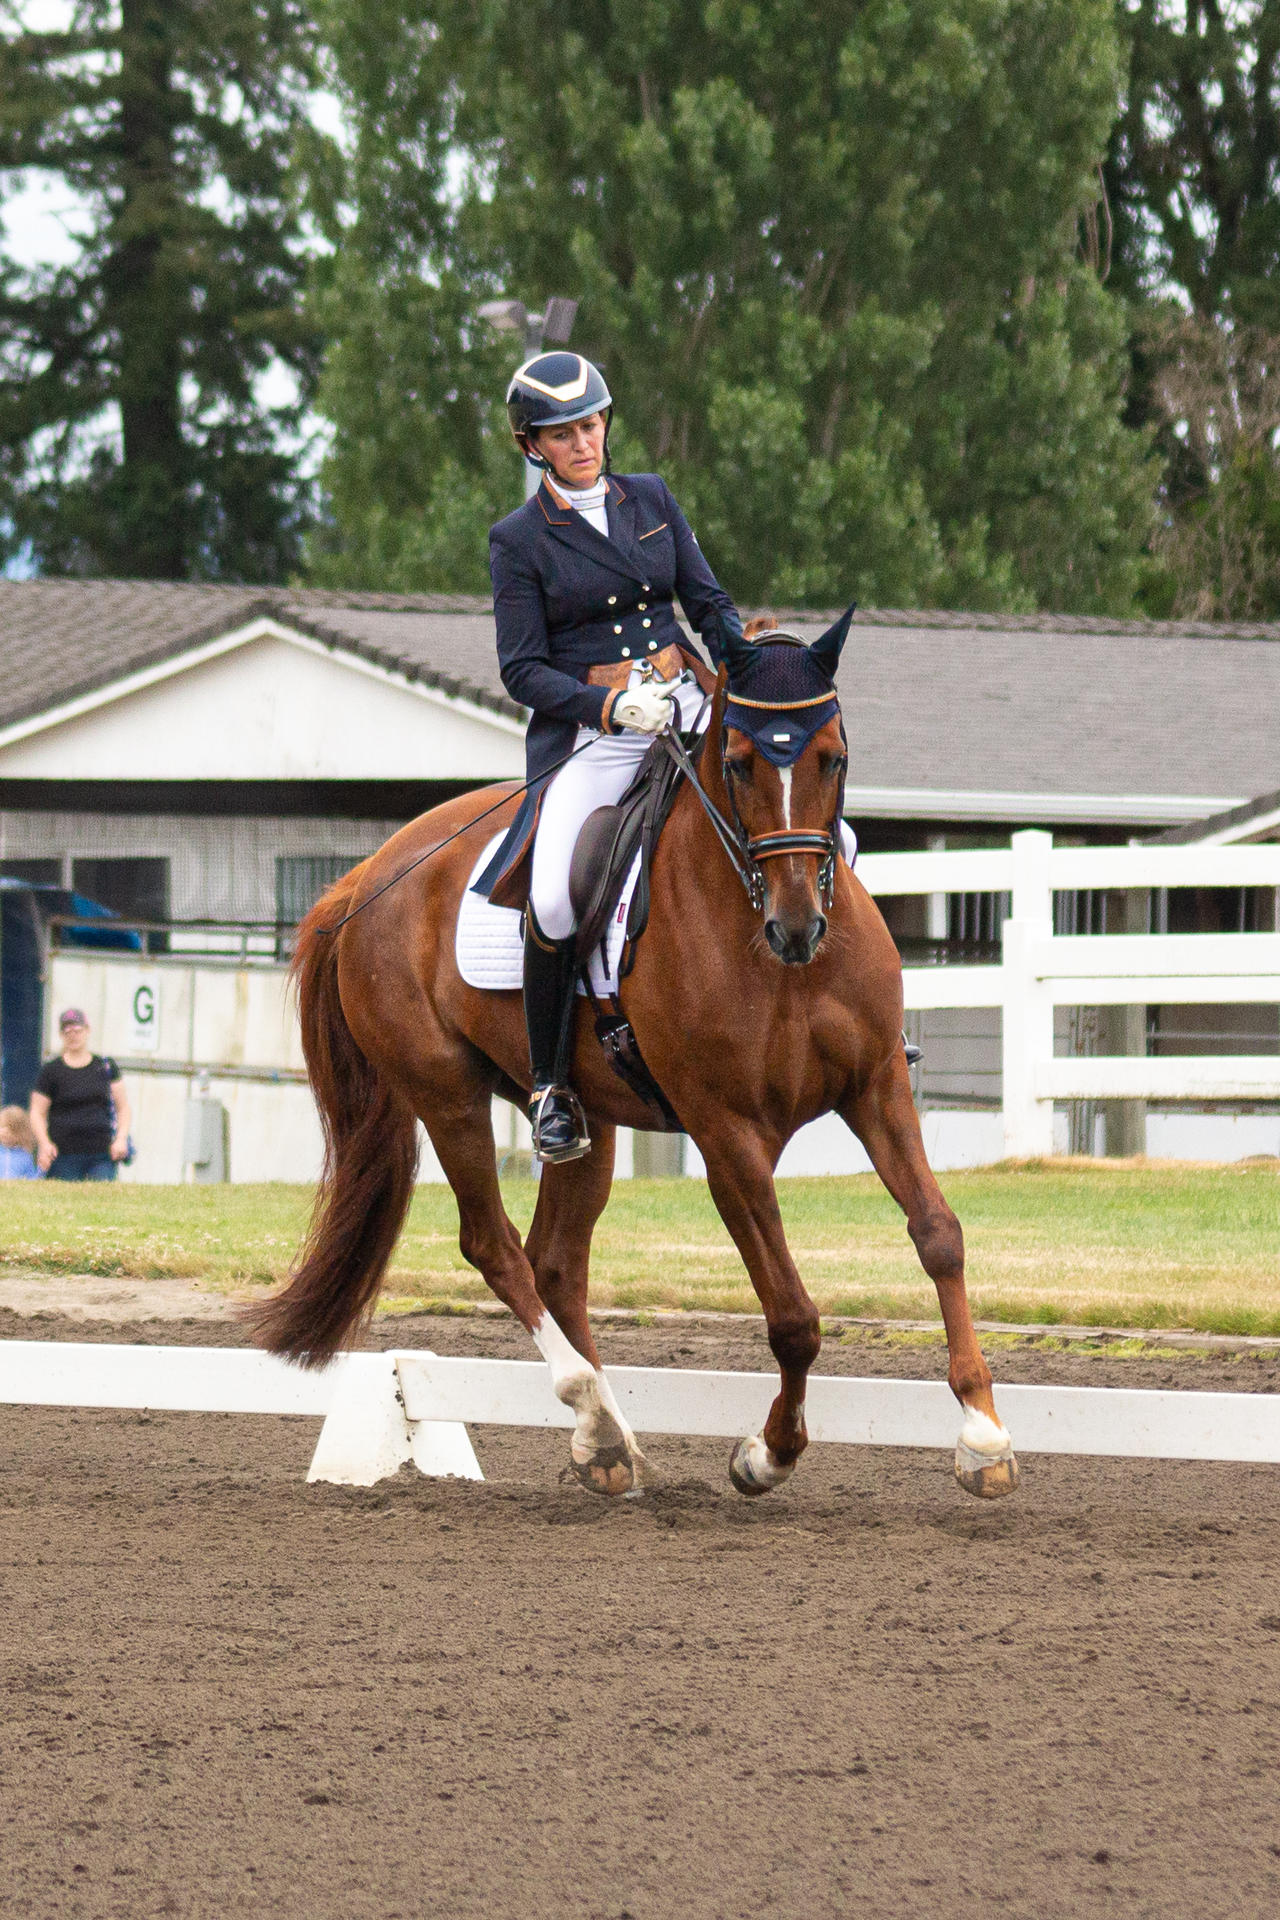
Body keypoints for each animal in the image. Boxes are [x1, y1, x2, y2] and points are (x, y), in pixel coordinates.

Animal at [249, 615, 1019, 1503]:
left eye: (834, 756)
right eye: (739, 762)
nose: (798, 928)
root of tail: (366, 878)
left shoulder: (877, 1087)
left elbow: (938, 1233)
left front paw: (984, 1437)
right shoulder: (727, 1134)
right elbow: (793, 1316)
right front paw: (767, 1454)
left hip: (587, 1118)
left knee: (554, 1262)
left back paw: (611, 1443)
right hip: (444, 1094)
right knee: (494, 1246)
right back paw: (591, 1414)